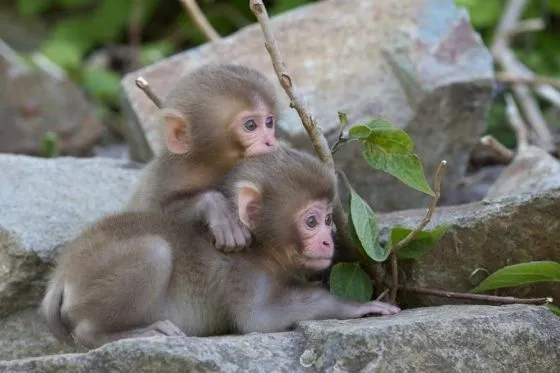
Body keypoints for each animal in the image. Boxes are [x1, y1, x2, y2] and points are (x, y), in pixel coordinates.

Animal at [130, 63, 280, 250]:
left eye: (269, 122)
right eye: (250, 125)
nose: (270, 142)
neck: (211, 166)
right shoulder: (166, 176)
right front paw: (218, 208)